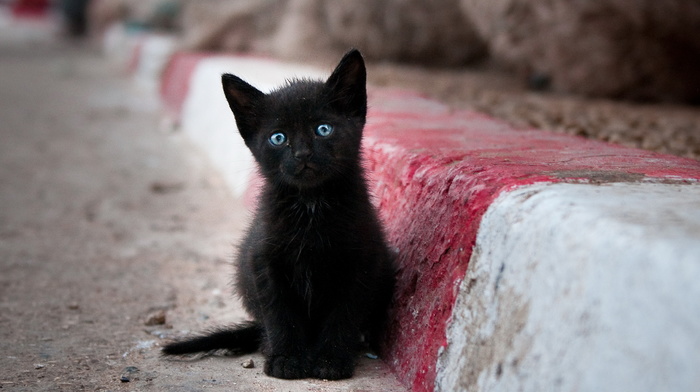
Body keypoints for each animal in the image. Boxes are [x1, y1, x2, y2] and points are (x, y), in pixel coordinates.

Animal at [161, 49, 396, 380]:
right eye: (278, 138)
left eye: (323, 129)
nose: (302, 154)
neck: (311, 204)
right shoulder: (263, 261)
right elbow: (279, 313)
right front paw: (286, 359)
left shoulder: (361, 262)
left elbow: (344, 314)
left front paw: (331, 360)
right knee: (264, 325)